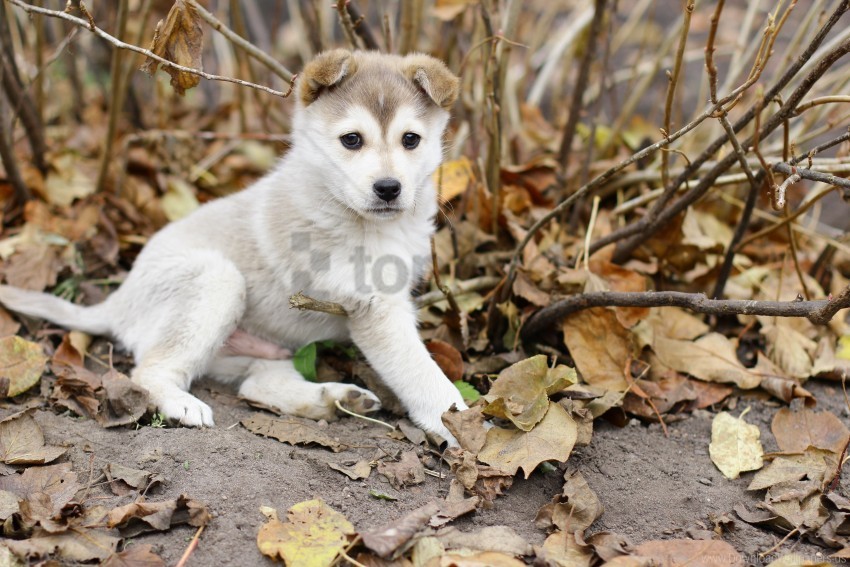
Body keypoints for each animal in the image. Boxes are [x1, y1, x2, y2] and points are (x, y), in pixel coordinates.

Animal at [0, 50, 468, 444]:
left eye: (411, 140)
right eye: (351, 140)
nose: (388, 188)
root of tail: (118, 301)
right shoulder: (375, 309)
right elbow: (423, 375)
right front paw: (459, 423)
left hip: (265, 347)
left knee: (257, 384)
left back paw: (333, 400)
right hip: (217, 281)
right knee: (150, 370)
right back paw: (182, 405)